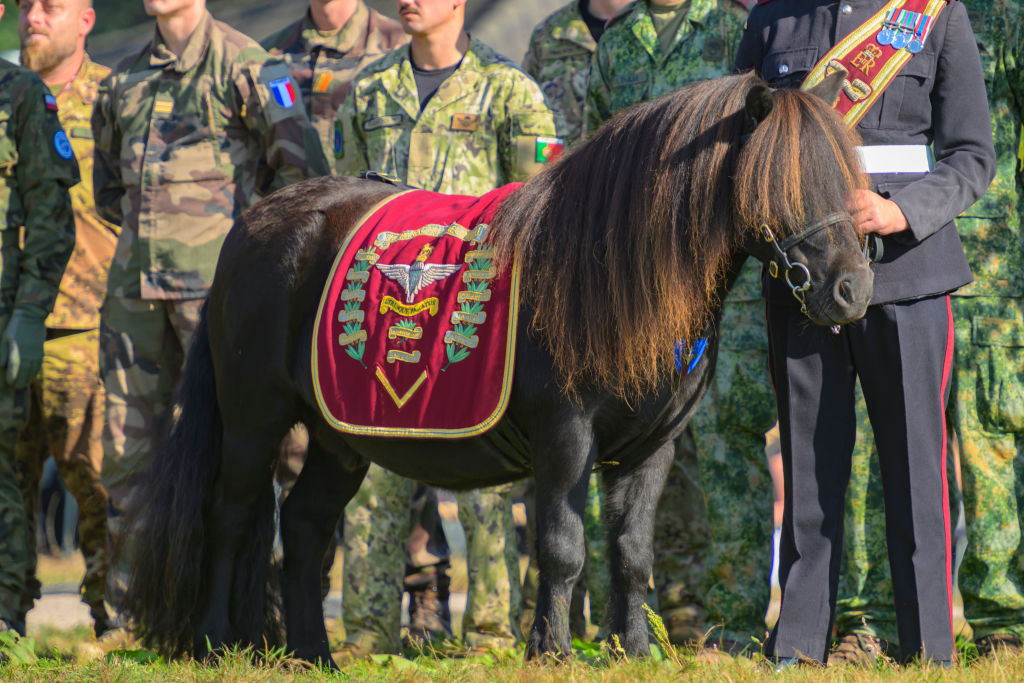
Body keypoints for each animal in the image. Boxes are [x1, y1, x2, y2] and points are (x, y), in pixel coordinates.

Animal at [121, 73, 872, 663]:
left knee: (305, 526)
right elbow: (563, 545)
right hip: (255, 418)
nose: (852, 290)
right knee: (231, 515)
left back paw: (315, 655)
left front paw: (632, 650)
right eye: (781, 180)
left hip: (339, 435)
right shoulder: (565, 433)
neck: (608, 270)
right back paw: (214, 641)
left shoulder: (652, 445)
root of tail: (253, 225)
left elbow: (631, 551)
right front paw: (550, 650)